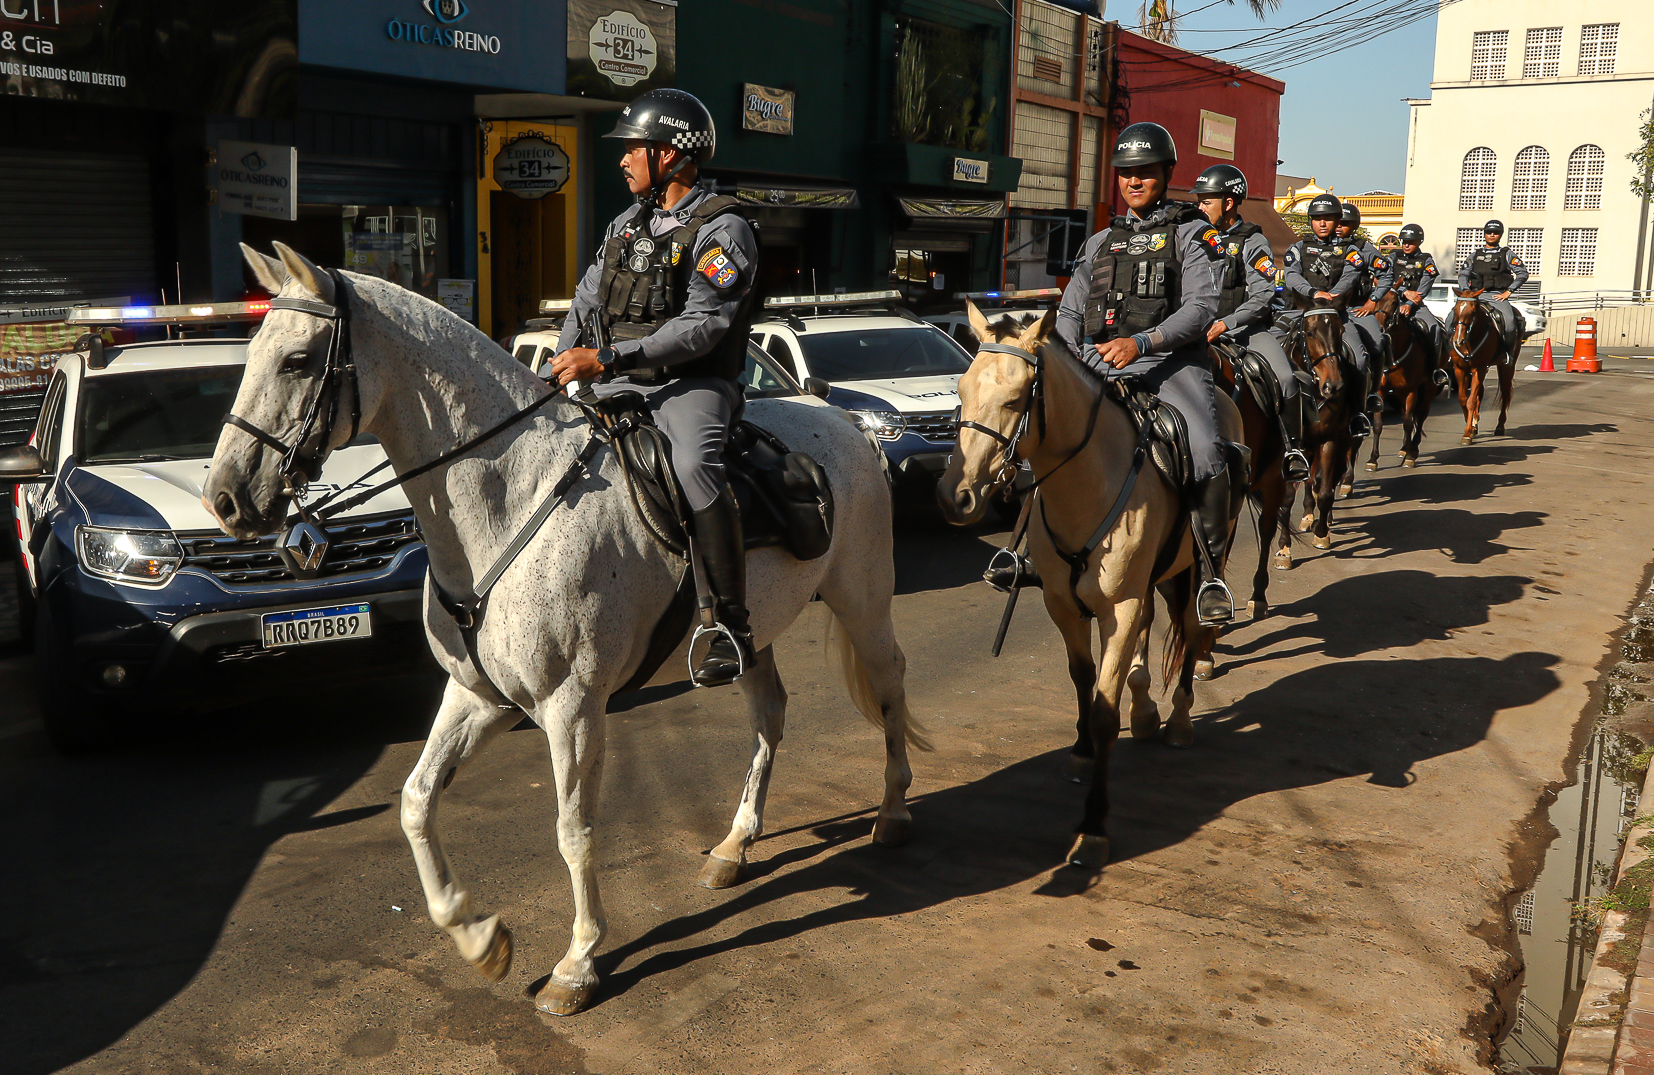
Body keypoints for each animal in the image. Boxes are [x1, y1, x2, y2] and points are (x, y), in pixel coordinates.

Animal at [201, 243, 926, 1012]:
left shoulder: (572, 708)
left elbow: (574, 830)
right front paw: (478, 937)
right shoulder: (478, 697)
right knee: (770, 715)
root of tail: (844, 423)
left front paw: (578, 962)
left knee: (889, 687)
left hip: (863, 601)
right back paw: (735, 845)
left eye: (296, 361)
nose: (224, 498)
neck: (511, 495)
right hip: (750, 635)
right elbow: (416, 803)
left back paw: (892, 813)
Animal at [939, 304, 1237, 873]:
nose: (955, 496)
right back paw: (1144, 712)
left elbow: (1103, 709)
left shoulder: (1117, 608)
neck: (1087, 483)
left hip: (1195, 569)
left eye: (1016, 399)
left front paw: (1092, 827)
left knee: (1191, 631)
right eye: (961, 391)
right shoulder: (1064, 605)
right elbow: (1081, 681)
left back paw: (1179, 721)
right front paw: (1079, 751)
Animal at [1362, 284, 1442, 469]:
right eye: (1374, 299)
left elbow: (1407, 422)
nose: (1379, 329)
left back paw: (1412, 450)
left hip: (1427, 389)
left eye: (1393, 302)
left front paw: (1410, 454)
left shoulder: (1412, 390)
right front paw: (1373, 459)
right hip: (1401, 392)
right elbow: (1378, 425)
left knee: (1420, 416)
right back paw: (1405, 448)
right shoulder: (1381, 391)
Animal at [1448, 286, 1515, 443]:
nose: (1458, 340)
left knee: (1505, 394)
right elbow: (1463, 399)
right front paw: (1471, 427)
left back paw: (1500, 426)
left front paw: (1467, 433)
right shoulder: (1460, 369)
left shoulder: (1478, 368)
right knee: (1481, 392)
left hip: (1506, 367)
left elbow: (1471, 400)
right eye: (1455, 309)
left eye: (1473, 312)